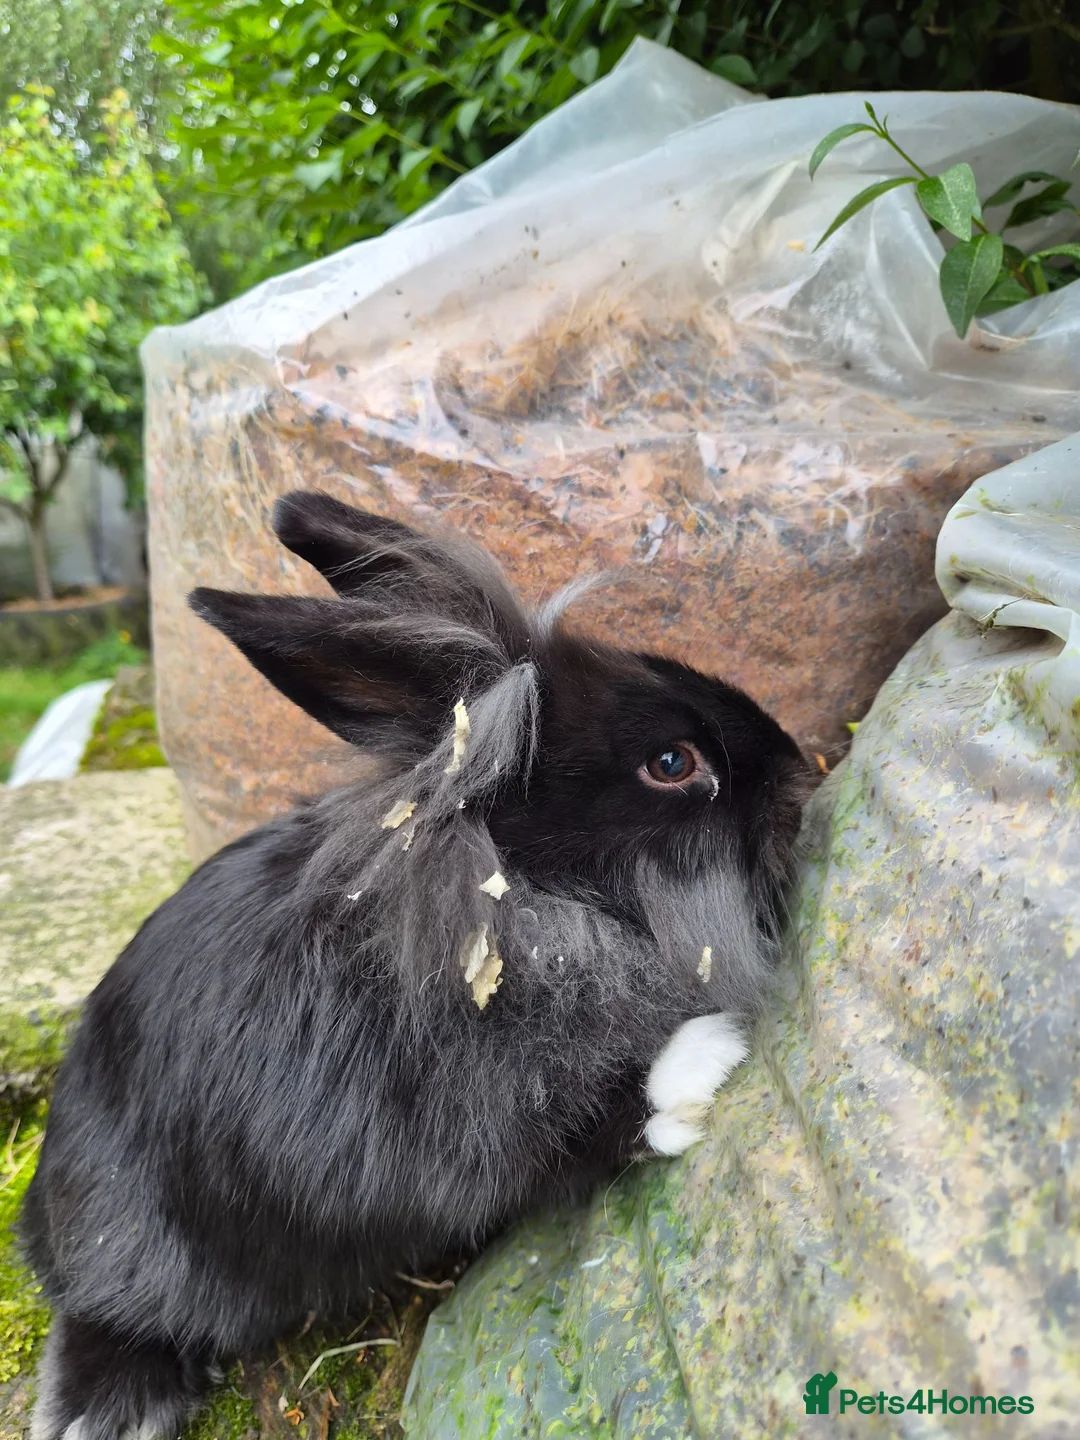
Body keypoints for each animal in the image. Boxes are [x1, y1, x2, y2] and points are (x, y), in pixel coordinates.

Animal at [22, 491, 810, 1440]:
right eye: (671, 763)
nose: (799, 776)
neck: (520, 903)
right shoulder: (459, 1137)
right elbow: (582, 1136)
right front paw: (703, 1060)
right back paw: (102, 1407)